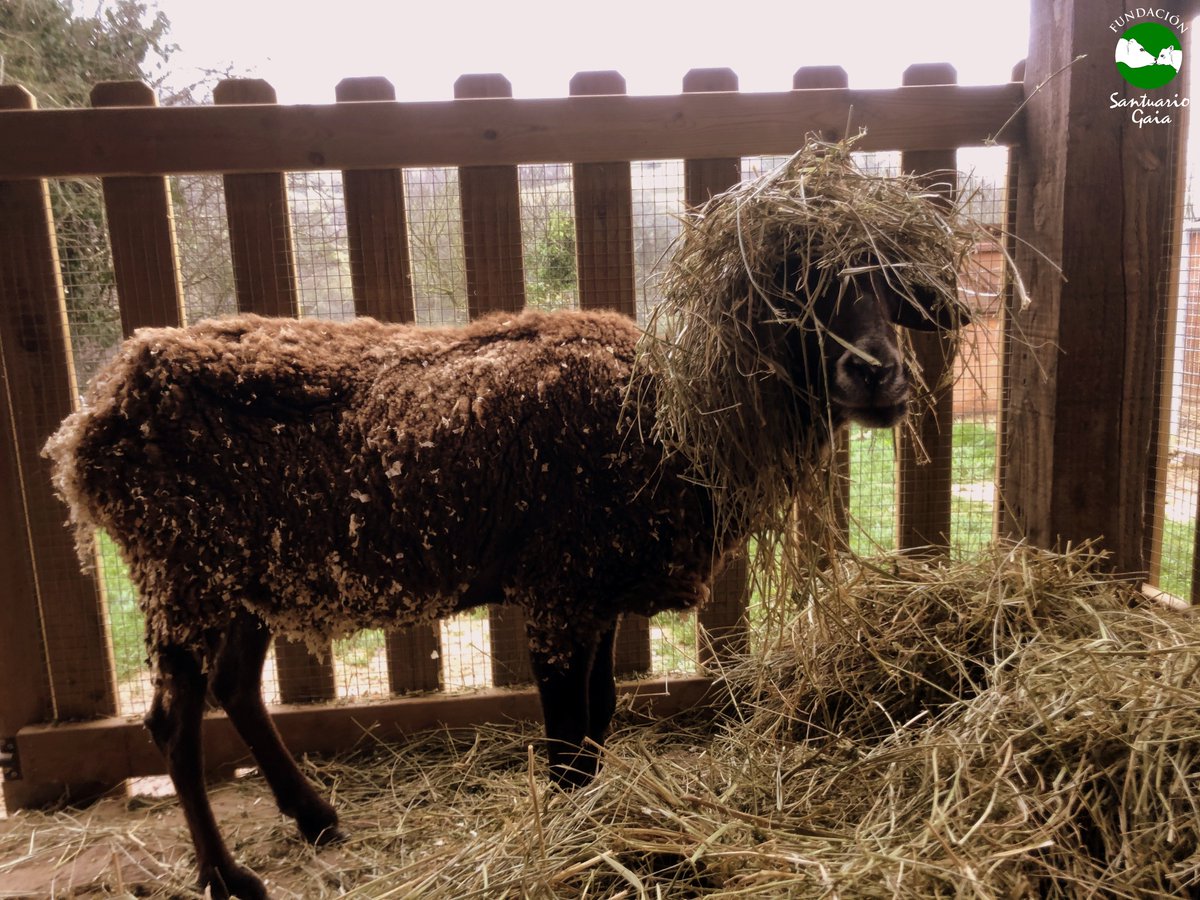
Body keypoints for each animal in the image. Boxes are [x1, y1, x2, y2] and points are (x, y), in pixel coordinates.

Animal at [44, 266, 964, 899]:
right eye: (797, 283)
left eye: (893, 286)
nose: (877, 374)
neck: (671, 410)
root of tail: (93, 417)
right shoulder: (558, 590)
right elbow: (567, 735)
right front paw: (571, 838)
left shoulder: (593, 593)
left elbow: (599, 717)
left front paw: (594, 820)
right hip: (179, 569)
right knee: (171, 722)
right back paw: (229, 877)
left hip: (243, 575)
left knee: (234, 687)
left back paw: (314, 816)